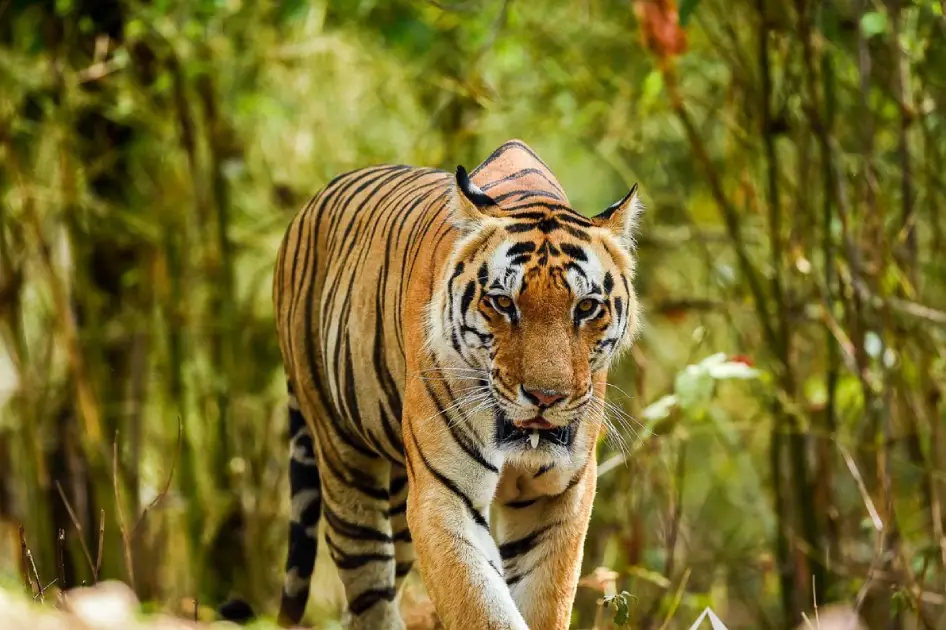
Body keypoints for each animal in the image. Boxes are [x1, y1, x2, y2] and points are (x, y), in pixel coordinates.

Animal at [271, 139, 643, 630]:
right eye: (503, 303)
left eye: (585, 307)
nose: (545, 397)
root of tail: (309, 206)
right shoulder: (443, 499)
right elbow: (483, 608)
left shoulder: (559, 501)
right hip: (343, 459)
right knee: (368, 587)